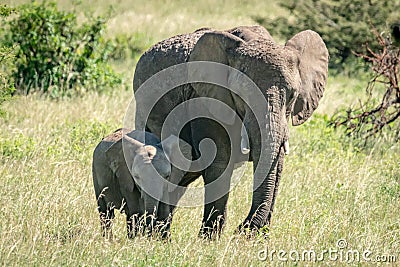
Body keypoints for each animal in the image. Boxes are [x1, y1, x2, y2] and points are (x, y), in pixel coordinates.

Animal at [131, 25, 328, 239]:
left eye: (292, 95)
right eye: (242, 95)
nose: (241, 229)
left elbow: (277, 164)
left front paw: (260, 238)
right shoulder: (204, 99)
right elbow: (219, 161)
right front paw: (209, 239)